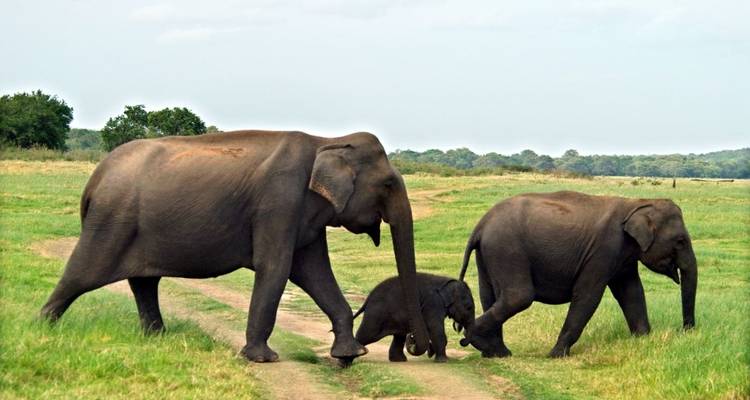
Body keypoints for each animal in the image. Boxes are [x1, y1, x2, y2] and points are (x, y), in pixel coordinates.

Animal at [40, 130, 431, 363]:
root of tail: (95, 178)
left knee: (143, 282)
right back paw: (42, 328)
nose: (415, 346)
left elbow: (315, 273)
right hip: (111, 222)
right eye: (388, 185)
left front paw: (350, 356)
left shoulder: (304, 215)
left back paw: (157, 338)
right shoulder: (279, 203)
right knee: (80, 274)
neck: (328, 140)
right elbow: (277, 268)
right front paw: (263, 359)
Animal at [458, 191, 697, 358]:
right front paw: (555, 355)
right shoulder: (603, 249)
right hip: (506, 249)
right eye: (680, 241)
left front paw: (643, 340)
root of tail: (480, 226)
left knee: (489, 296)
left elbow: (631, 292)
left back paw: (496, 352)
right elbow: (588, 295)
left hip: (488, 253)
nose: (685, 330)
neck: (636, 203)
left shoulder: (624, 256)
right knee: (518, 297)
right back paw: (476, 341)